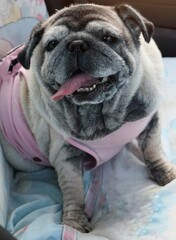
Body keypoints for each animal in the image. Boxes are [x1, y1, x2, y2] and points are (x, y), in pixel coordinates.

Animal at [0, 3, 176, 232]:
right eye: (52, 44)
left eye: (108, 38)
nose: (76, 44)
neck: (102, 115)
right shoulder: (66, 156)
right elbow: (74, 191)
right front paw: (74, 223)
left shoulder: (150, 123)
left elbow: (153, 150)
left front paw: (165, 174)